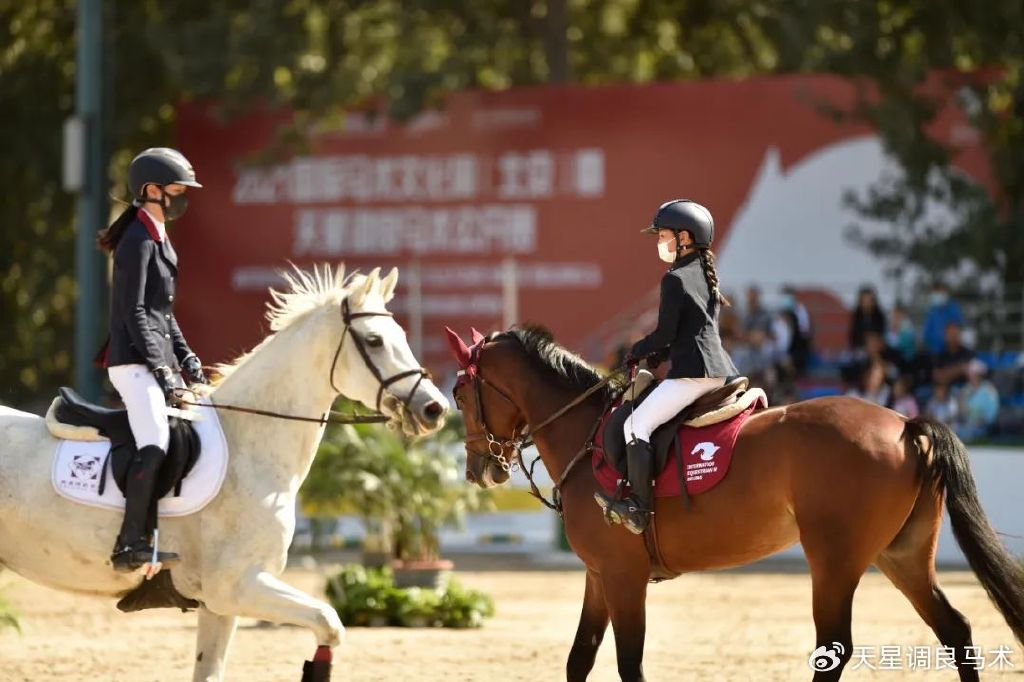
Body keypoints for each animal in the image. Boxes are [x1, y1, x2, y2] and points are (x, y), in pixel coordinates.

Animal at [0, 264, 448, 679]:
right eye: (374, 340)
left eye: (401, 336)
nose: (434, 408)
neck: (248, 443)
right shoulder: (236, 586)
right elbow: (329, 623)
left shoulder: (220, 604)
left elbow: (211, 670)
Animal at [446, 325, 1024, 679]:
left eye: (458, 393)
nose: (478, 469)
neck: (586, 435)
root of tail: (905, 425)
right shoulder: (598, 574)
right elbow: (579, 660)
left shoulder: (623, 577)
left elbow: (628, 664)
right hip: (902, 555)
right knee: (955, 630)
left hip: (835, 562)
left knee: (834, 649)